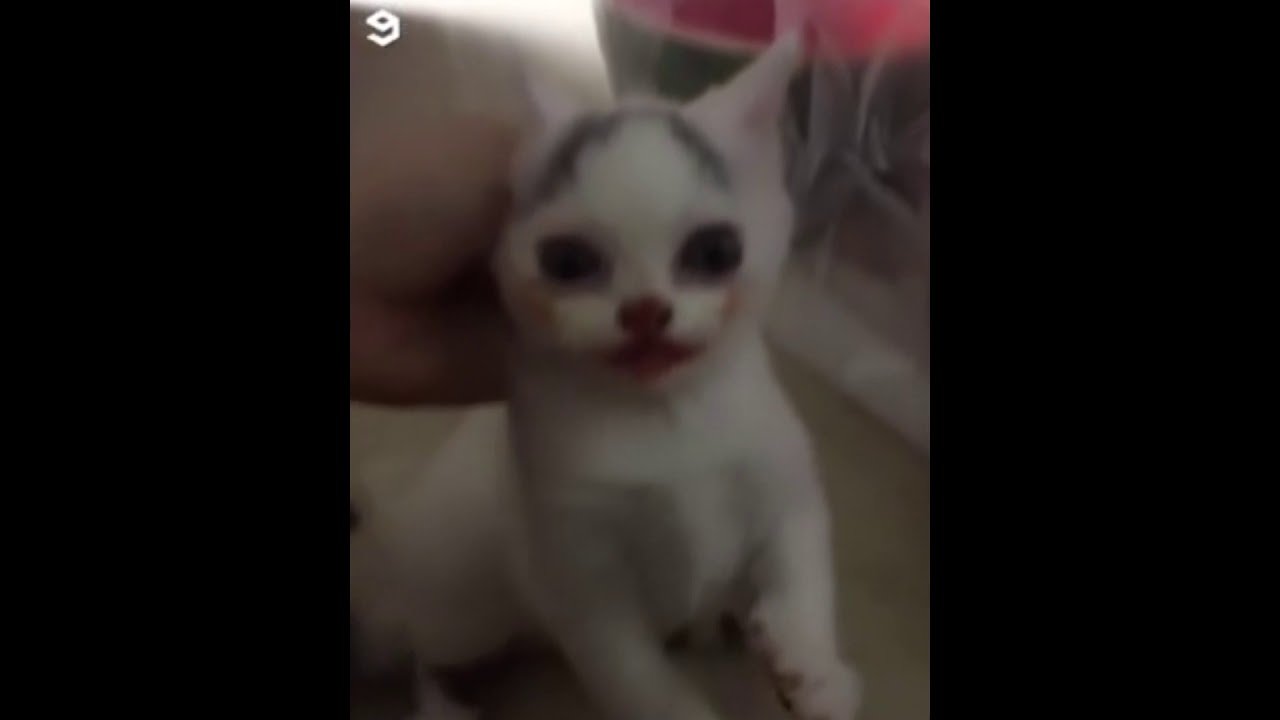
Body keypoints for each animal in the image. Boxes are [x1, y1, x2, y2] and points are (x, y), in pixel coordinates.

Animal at [350, 32, 860, 720]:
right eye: (567, 262)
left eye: (715, 252)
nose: (645, 309)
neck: (667, 417)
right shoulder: (581, 582)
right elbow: (636, 679)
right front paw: (687, 707)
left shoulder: (783, 483)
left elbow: (802, 566)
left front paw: (812, 665)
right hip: (461, 602)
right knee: (425, 658)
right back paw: (444, 704)